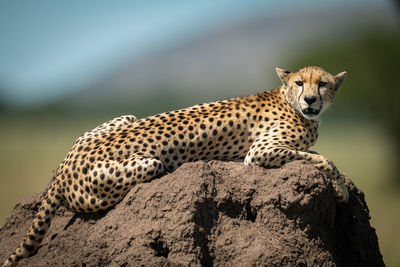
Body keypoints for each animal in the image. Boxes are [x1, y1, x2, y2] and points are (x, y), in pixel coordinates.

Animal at [1, 66, 346, 266]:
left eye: (322, 84)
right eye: (300, 83)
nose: (311, 100)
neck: (288, 100)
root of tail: (62, 170)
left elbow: (318, 154)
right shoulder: (260, 152)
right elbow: (323, 158)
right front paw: (341, 189)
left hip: (125, 118)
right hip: (144, 166)